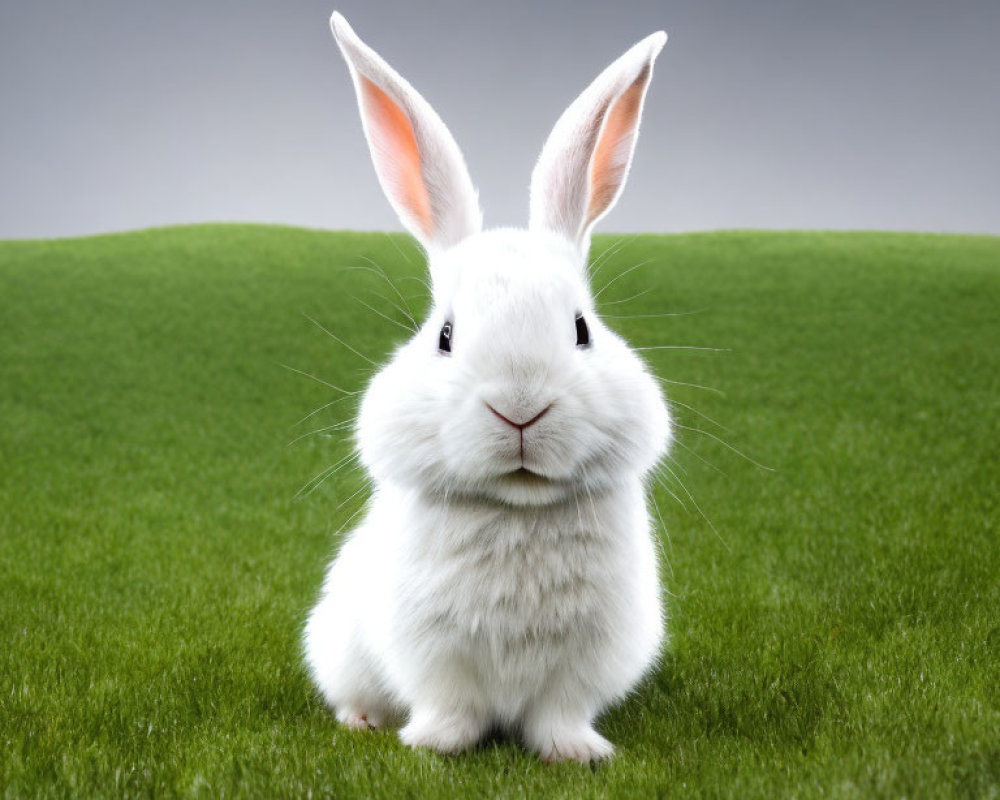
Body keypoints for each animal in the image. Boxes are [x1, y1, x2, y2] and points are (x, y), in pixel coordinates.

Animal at [306, 12, 672, 764]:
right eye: (444, 336)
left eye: (582, 329)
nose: (521, 408)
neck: (516, 507)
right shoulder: (431, 652)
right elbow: (453, 705)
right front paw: (432, 746)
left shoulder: (586, 659)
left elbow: (561, 712)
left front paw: (578, 754)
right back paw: (362, 721)